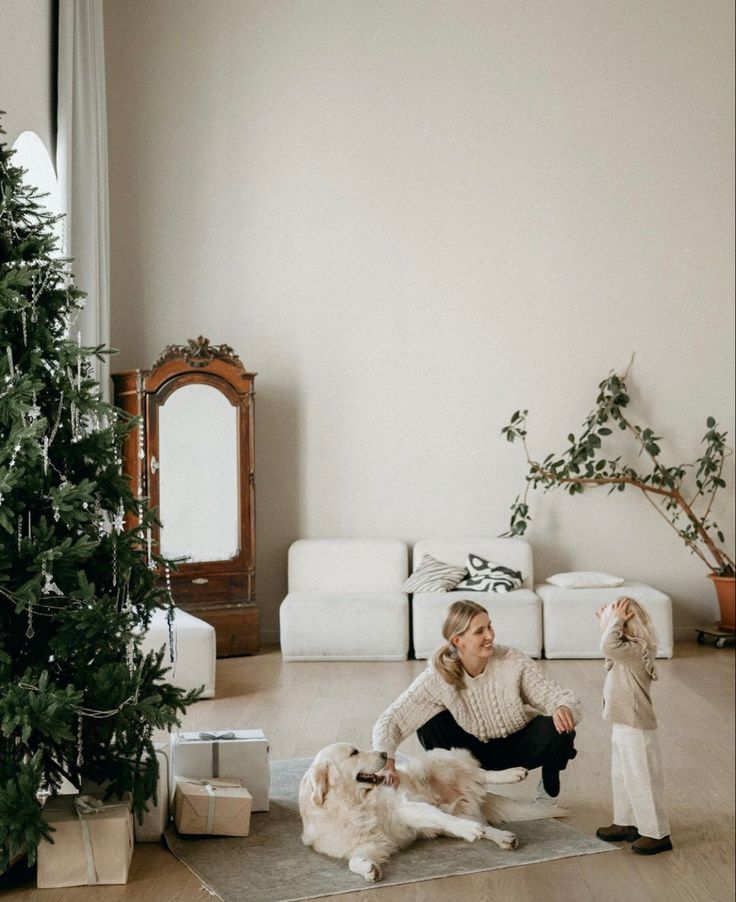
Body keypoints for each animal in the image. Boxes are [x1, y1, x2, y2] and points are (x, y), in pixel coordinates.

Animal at [300, 744, 564, 888]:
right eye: (354, 752)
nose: (384, 753)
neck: (352, 802)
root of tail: (469, 793)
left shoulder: (405, 807)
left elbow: (440, 816)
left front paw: (468, 830)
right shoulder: (369, 844)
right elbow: (353, 861)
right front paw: (368, 870)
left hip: (438, 762)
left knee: (480, 774)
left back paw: (512, 774)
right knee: (481, 821)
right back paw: (503, 838)